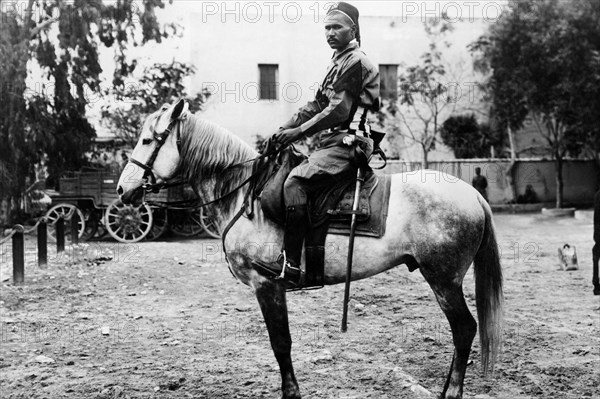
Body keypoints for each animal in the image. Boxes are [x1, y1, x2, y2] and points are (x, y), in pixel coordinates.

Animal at [116, 101, 502, 399]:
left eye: (148, 139)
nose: (123, 189)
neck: (244, 195)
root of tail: (473, 194)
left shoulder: (267, 284)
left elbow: (280, 343)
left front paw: (291, 392)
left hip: (444, 280)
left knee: (465, 329)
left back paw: (451, 392)